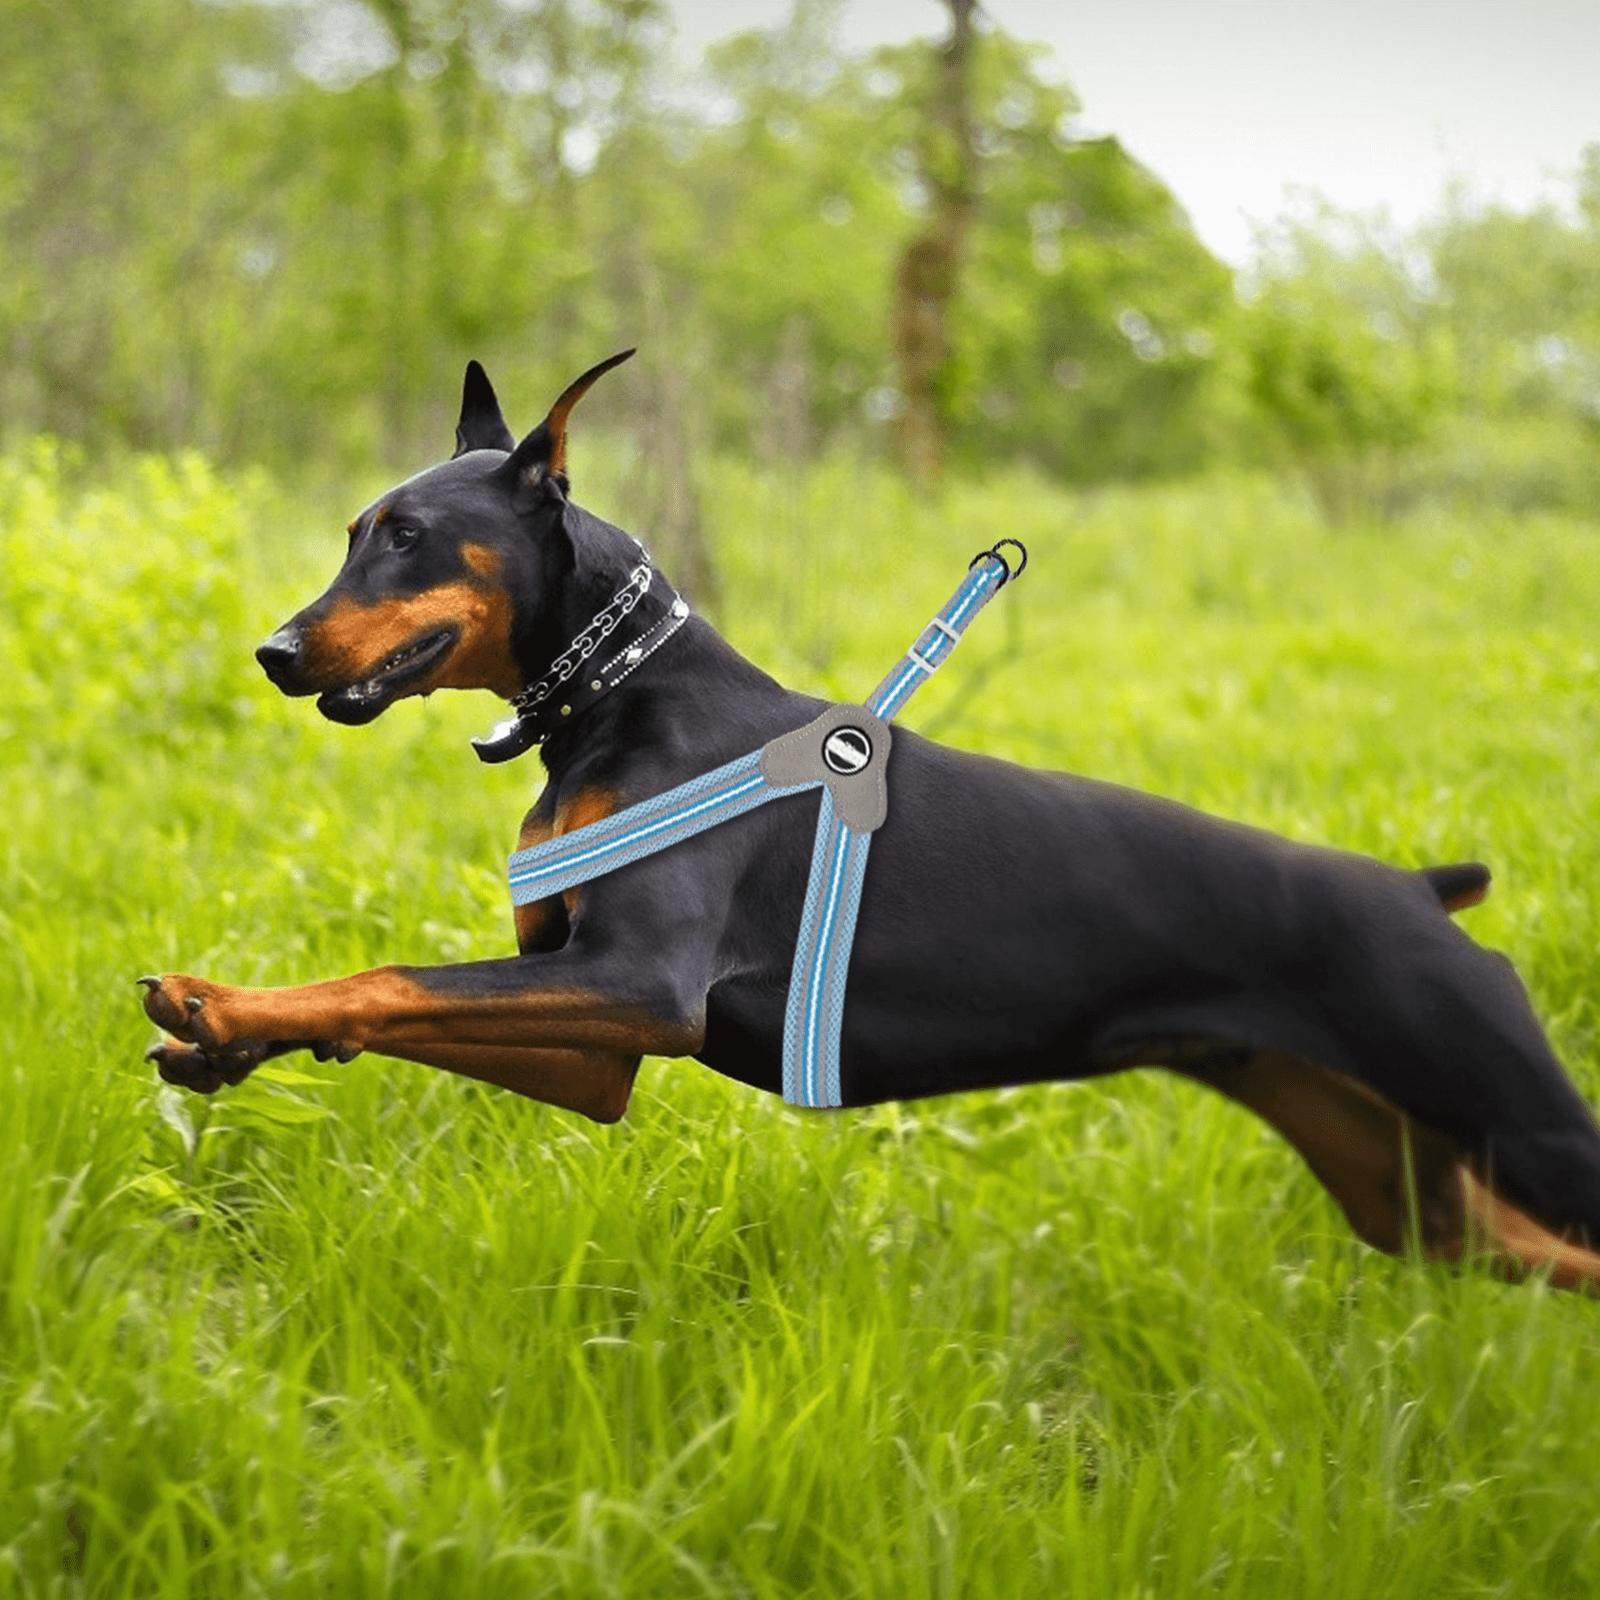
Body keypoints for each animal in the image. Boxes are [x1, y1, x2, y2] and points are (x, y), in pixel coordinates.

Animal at [140, 353, 1600, 1286]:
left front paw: (222, 1006)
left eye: (409, 537)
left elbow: (391, 975)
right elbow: (398, 1007)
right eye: (353, 531)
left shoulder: (640, 983)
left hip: (1506, 1111)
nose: (275, 652)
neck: (620, 693)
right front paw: (239, 1045)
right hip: (1404, 1187)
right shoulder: (597, 1045)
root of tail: (1421, 890)